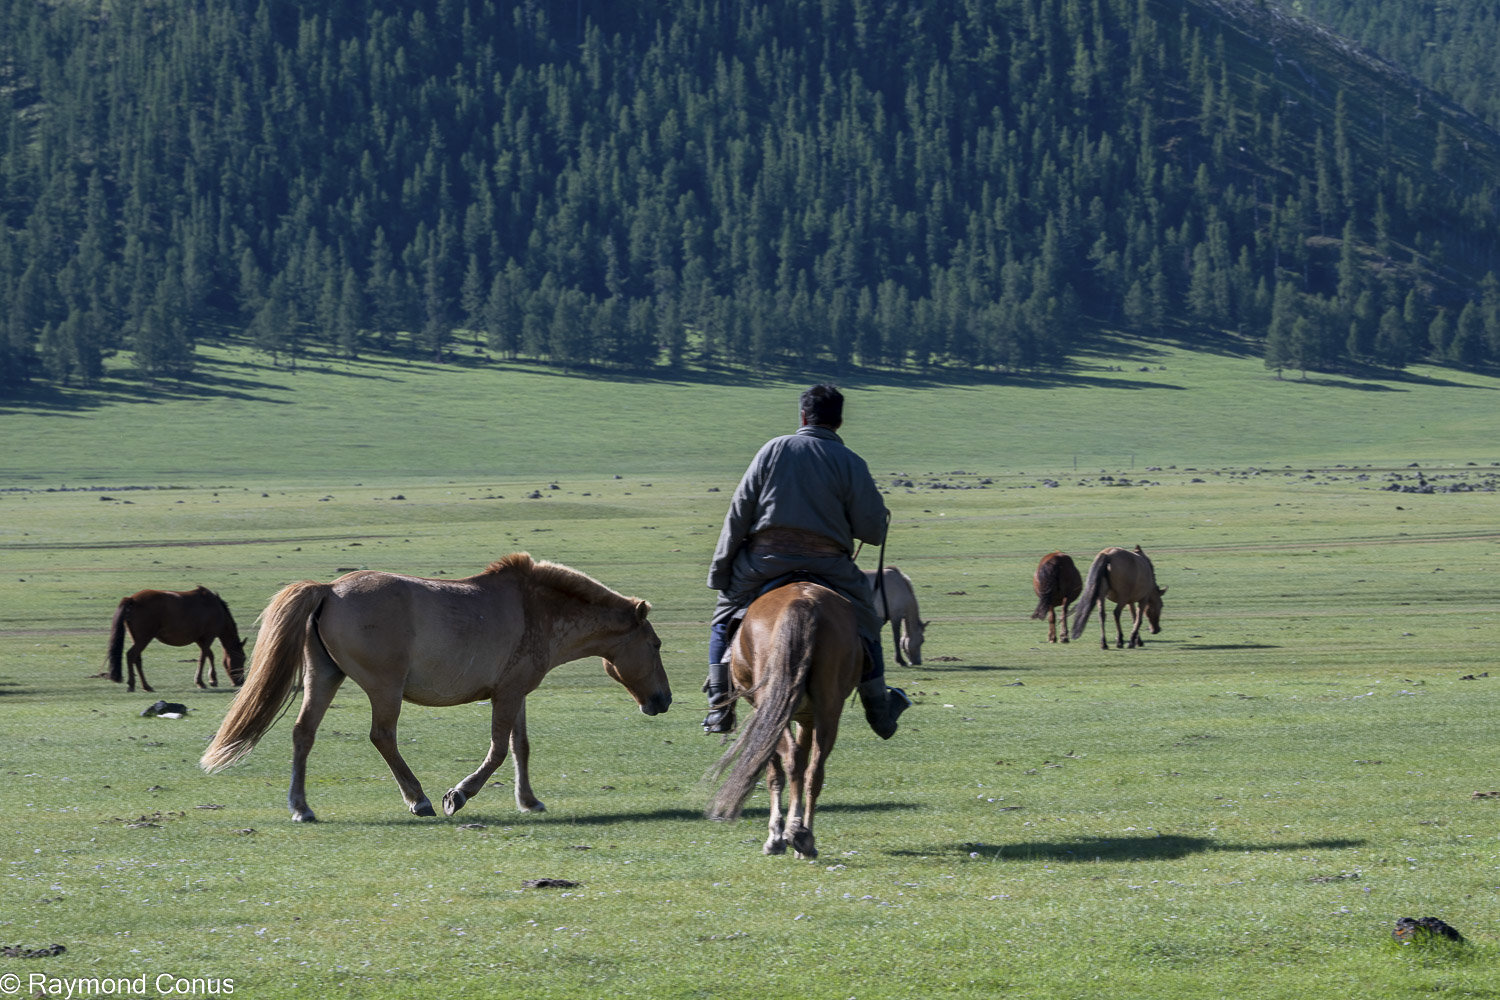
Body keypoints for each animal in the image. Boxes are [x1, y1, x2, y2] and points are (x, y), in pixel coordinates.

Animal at [105, 587, 247, 693]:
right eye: (242, 658)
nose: (241, 682)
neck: (216, 608)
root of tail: (132, 599)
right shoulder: (208, 637)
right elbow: (204, 657)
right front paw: (201, 682)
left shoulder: (200, 640)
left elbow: (209, 655)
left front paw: (212, 679)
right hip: (143, 639)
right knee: (131, 655)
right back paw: (133, 684)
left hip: (138, 639)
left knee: (137, 659)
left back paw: (146, 686)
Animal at [200, 553, 671, 822]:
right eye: (656, 644)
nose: (663, 699)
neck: (537, 609)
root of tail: (329, 590)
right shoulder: (507, 695)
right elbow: (498, 752)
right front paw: (458, 795)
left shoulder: (516, 693)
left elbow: (520, 748)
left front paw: (529, 801)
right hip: (385, 688)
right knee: (382, 736)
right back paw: (419, 799)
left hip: (325, 677)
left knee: (304, 734)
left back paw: (302, 808)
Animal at [705, 581, 862, 860]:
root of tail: (803, 601)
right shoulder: (806, 717)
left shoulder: (767, 713)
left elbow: (772, 772)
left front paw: (775, 837)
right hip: (829, 709)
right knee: (813, 770)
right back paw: (805, 837)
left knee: (789, 759)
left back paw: (791, 833)